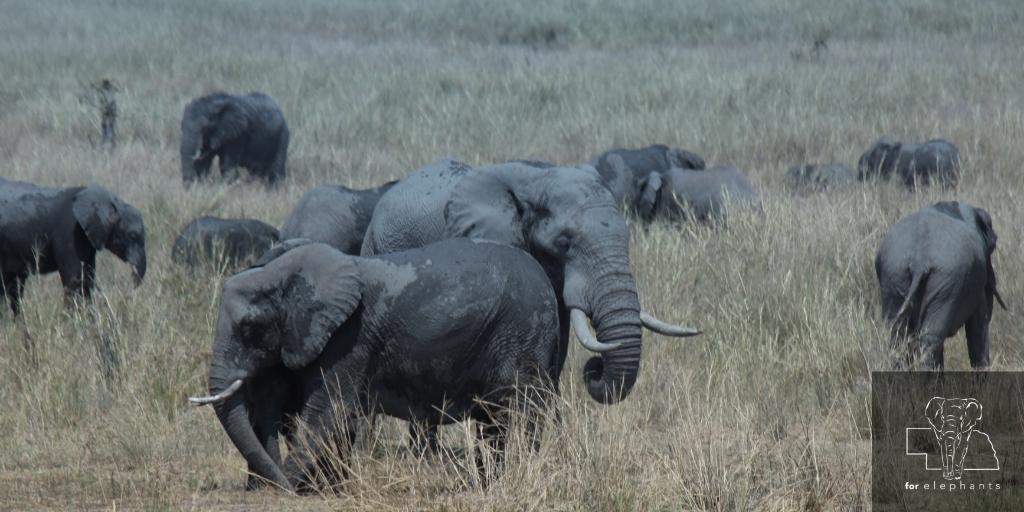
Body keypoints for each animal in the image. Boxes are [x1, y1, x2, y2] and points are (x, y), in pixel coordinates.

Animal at [190, 238, 575, 491]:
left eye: (250, 327)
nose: (276, 485)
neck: (285, 272)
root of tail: (547, 283)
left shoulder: (350, 337)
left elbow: (327, 411)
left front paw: (298, 487)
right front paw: (325, 488)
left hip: (522, 336)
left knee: (519, 412)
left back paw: (517, 476)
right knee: (493, 422)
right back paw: (489, 484)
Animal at [875, 201, 1006, 369]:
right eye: (993, 244)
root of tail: (919, 261)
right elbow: (979, 324)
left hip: (895, 276)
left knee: (898, 334)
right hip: (948, 281)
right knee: (931, 336)